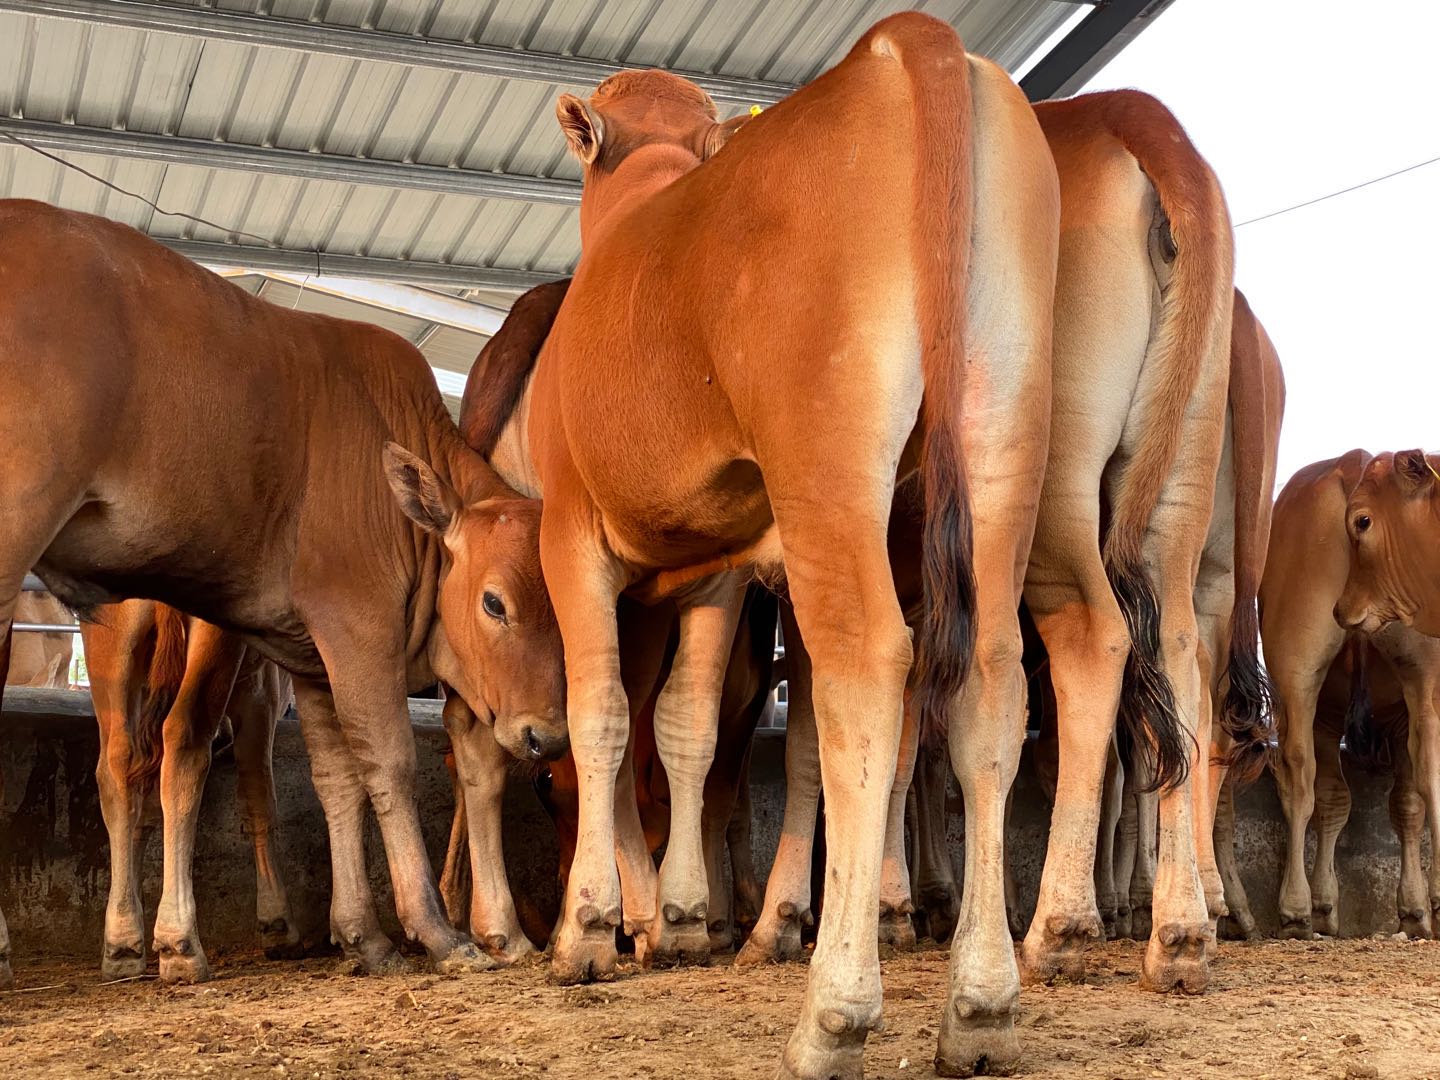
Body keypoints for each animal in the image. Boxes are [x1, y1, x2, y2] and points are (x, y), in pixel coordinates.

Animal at [83, 604, 300, 984]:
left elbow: (146, 812)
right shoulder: (260, 689)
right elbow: (258, 797)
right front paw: (277, 922)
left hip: (109, 649)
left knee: (117, 763)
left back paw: (121, 941)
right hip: (214, 642)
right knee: (184, 743)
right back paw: (179, 942)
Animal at [460, 12, 1059, 1077]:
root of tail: (905, 49)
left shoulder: (573, 532)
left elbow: (599, 713)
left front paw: (589, 931)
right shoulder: (717, 569)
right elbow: (684, 722)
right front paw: (673, 919)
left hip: (829, 458)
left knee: (867, 671)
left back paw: (833, 1012)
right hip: (1003, 440)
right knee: (990, 685)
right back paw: (981, 1009)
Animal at [1261, 452, 1440, 944]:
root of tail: (1350, 463)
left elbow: (1363, 800)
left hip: (1300, 676)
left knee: (1301, 777)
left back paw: (1300, 908)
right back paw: (1297, 908)